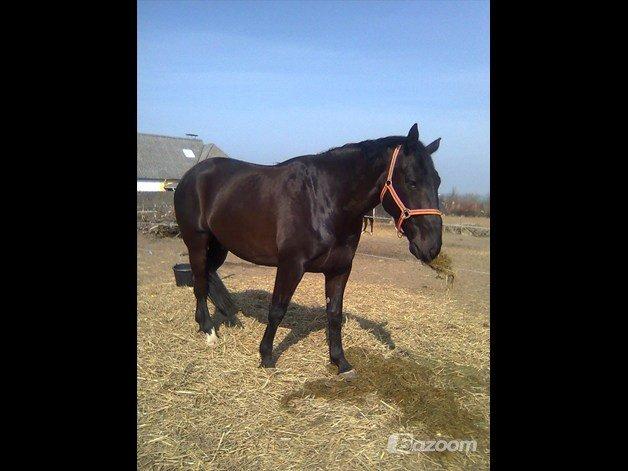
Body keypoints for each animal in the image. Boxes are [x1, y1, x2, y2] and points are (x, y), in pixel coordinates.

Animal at [174, 124, 444, 380]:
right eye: (411, 181)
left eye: (438, 181)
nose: (431, 247)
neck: (324, 200)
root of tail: (190, 176)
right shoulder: (291, 265)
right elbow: (277, 310)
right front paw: (266, 357)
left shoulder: (339, 269)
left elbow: (334, 314)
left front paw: (341, 363)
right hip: (197, 242)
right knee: (200, 282)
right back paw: (209, 331)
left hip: (220, 245)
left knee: (208, 276)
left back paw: (228, 318)